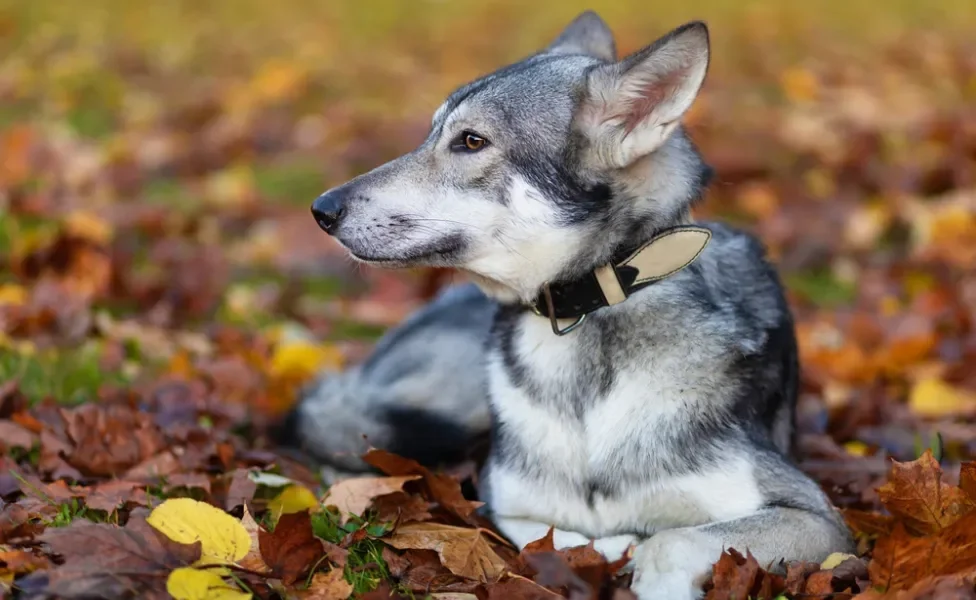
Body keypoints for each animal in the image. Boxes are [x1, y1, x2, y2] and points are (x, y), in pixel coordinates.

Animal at [292, 11, 856, 596]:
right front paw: (614, 548)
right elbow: (562, 540)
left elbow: (669, 540)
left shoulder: (816, 519)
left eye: (470, 141)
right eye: (432, 133)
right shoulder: (506, 504)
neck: (589, 316)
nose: (322, 209)